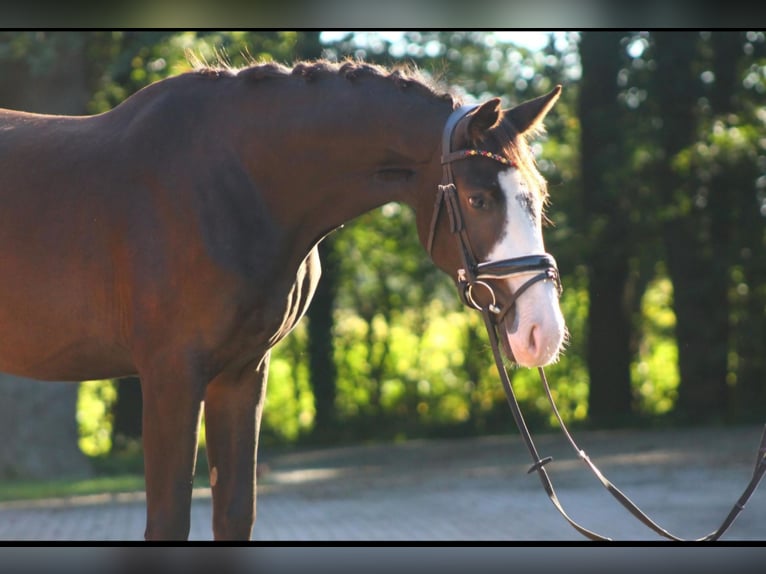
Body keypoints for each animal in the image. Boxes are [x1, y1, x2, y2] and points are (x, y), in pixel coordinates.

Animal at [0, 60, 564, 544]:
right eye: (478, 199)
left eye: (539, 195)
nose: (544, 332)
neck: (231, 183)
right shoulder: (170, 376)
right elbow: (168, 521)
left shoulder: (242, 373)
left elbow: (234, 514)